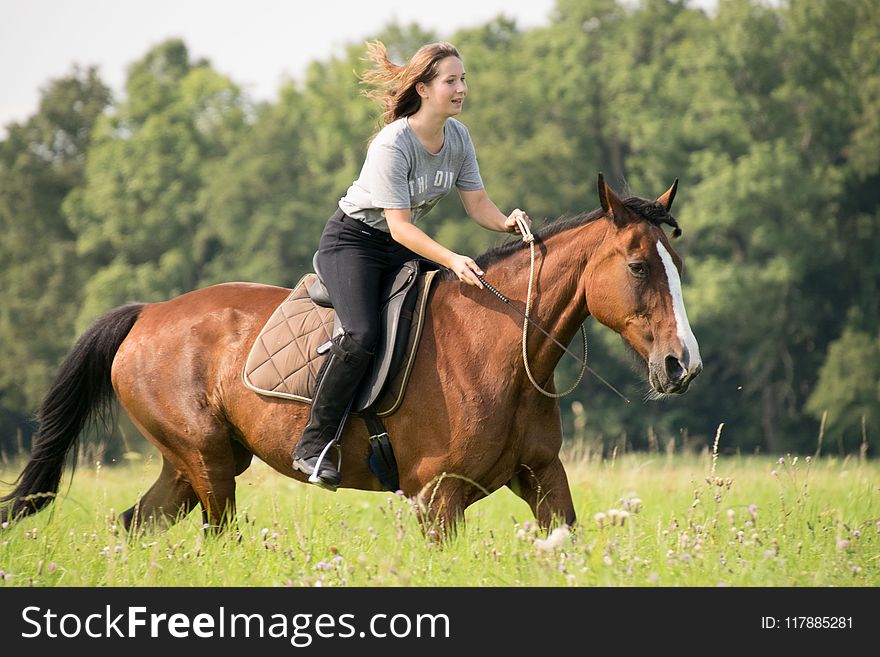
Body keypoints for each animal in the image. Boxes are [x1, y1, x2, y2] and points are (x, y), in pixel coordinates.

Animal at [0, 174, 700, 532]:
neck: (499, 349)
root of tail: (146, 314)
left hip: (190, 465)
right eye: (639, 266)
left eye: (676, 262)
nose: (681, 366)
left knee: (132, 524)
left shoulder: (544, 479)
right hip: (208, 464)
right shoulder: (437, 499)